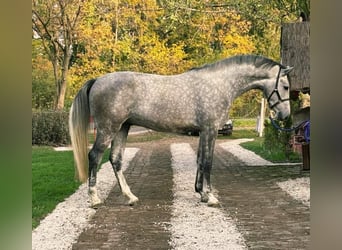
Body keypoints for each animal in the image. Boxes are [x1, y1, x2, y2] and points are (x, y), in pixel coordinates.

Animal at [69, 54, 292, 207]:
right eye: (286, 87)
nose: (284, 115)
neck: (219, 84)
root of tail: (97, 80)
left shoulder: (203, 132)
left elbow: (200, 160)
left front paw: (201, 193)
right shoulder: (210, 130)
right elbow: (208, 162)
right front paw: (210, 197)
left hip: (122, 128)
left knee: (115, 159)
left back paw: (130, 197)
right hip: (108, 129)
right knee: (94, 156)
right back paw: (95, 199)